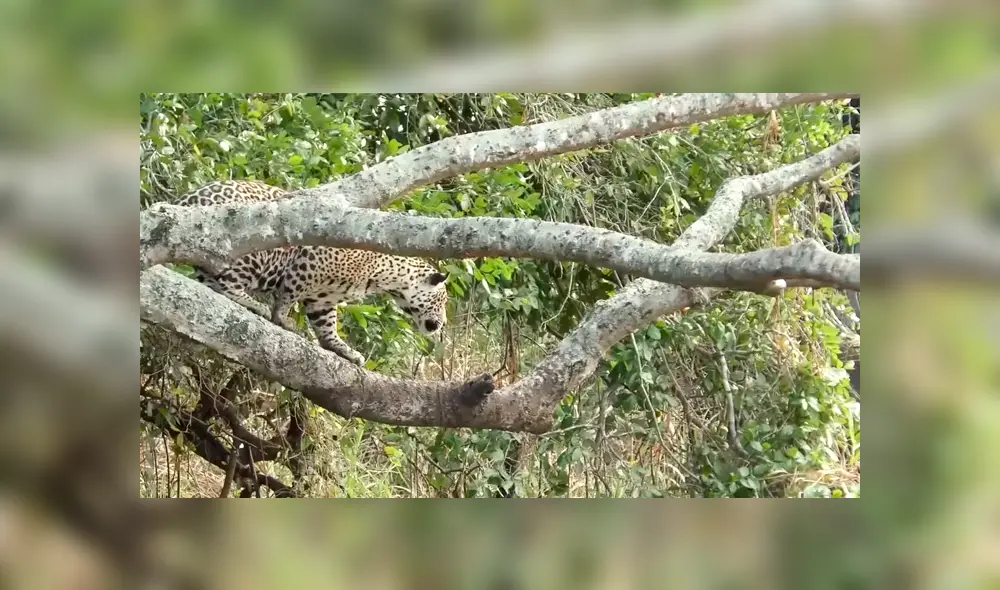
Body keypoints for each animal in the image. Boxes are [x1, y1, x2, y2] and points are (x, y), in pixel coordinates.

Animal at [173, 179, 449, 366]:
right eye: (442, 301)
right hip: (251, 245)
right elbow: (288, 295)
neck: (386, 275)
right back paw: (255, 304)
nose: (444, 323)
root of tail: (184, 201)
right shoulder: (307, 263)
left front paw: (345, 351)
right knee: (223, 284)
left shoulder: (323, 299)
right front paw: (283, 319)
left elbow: (327, 328)